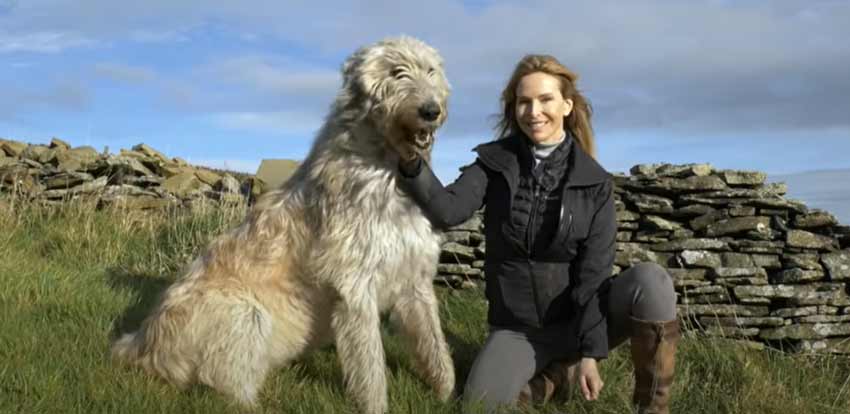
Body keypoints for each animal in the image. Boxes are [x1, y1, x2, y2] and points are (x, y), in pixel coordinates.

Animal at [113, 36, 458, 414]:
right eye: (397, 72)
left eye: (430, 70)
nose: (431, 111)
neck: (386, 168)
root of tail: (139, 346)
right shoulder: (355, 286)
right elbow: (369, 364)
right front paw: (375, 406)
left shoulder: (415, 278)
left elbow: (433, 343)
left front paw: (445, 393)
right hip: (243, 312)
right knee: (220, 383)